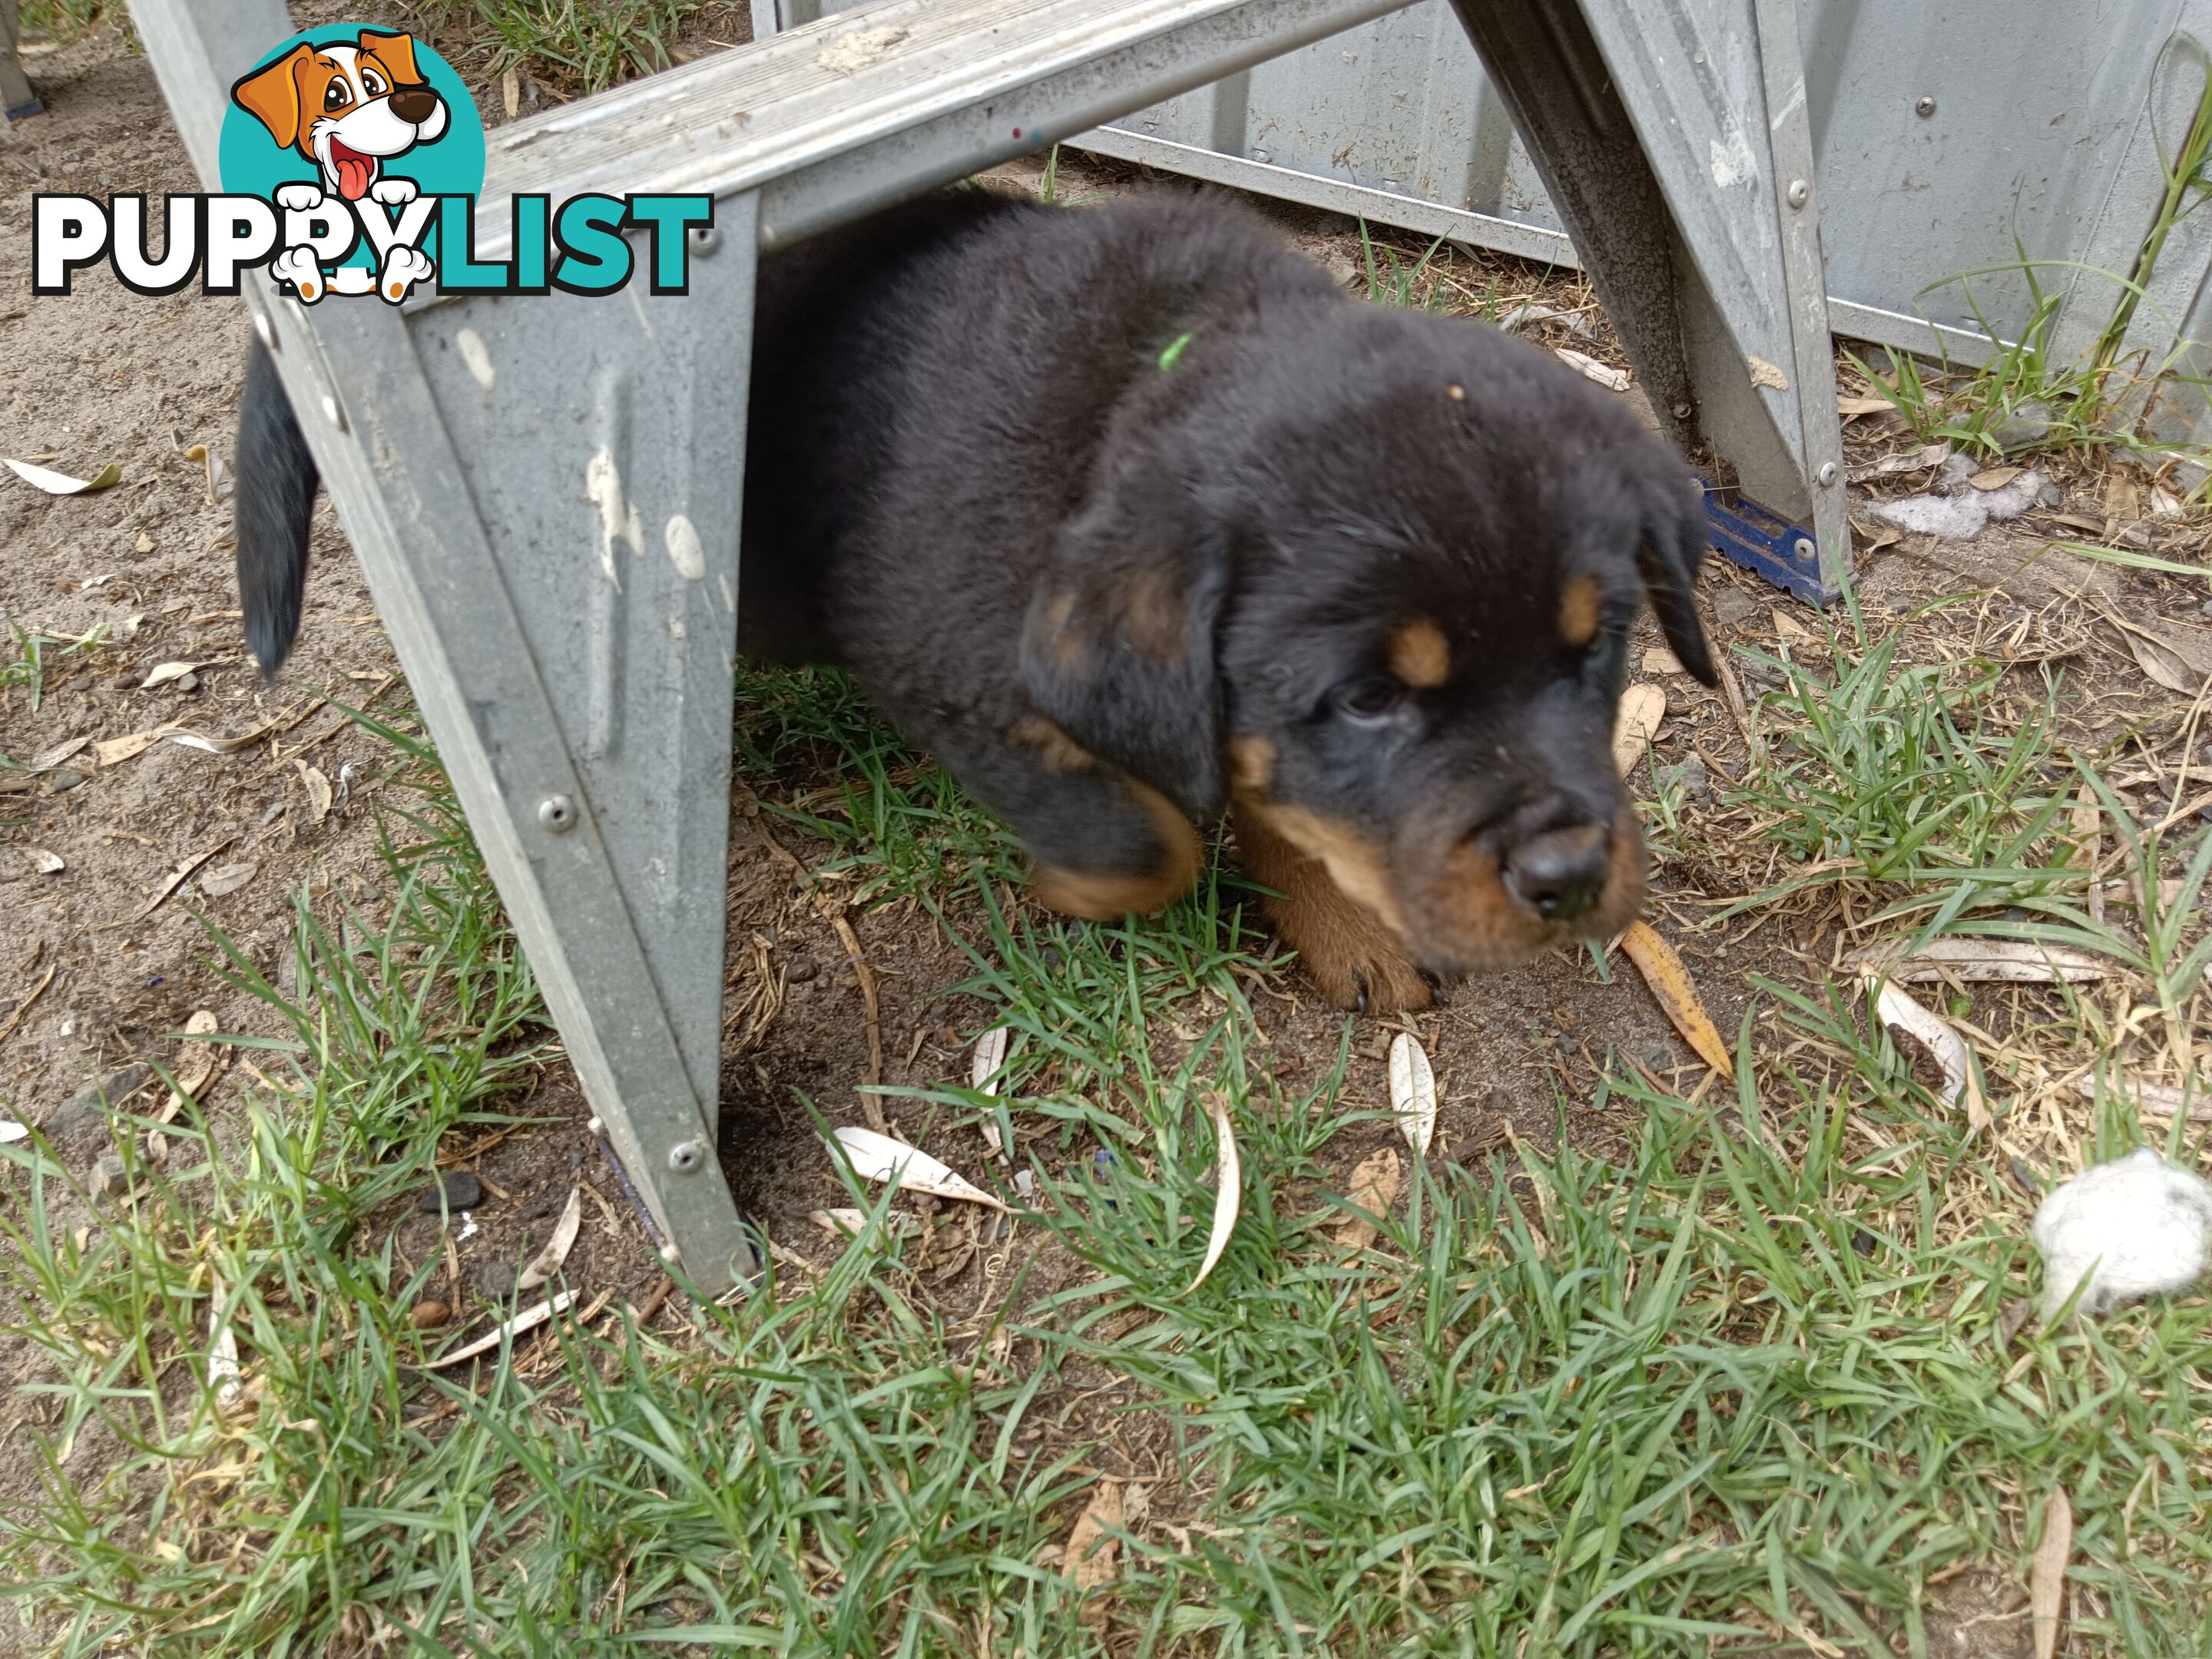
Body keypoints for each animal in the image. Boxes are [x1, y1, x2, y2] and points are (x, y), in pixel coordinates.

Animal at [233, 184, 1707, 1013]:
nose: (1574, 876)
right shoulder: (959, 678)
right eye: (1369, 702)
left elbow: (1260, 781)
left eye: (1597, 653)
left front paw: (1337, 917)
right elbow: (1146, 836)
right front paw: (1073, 886)